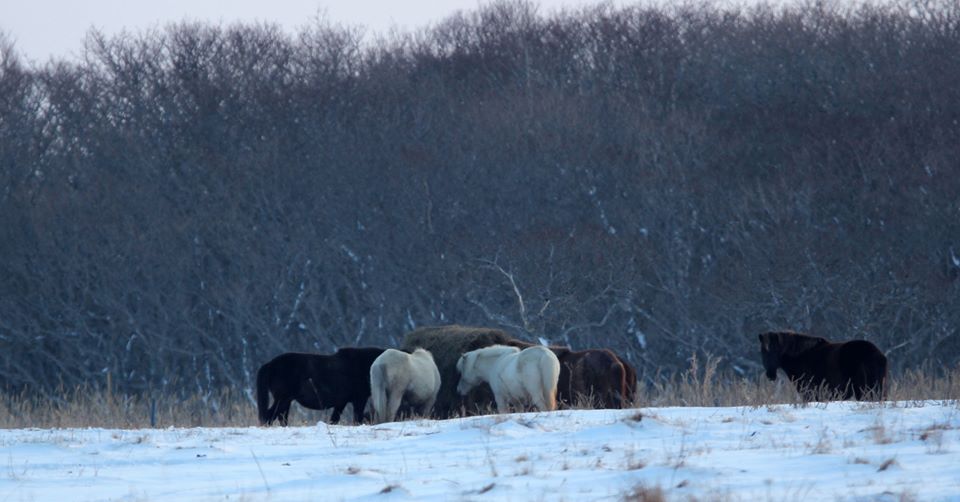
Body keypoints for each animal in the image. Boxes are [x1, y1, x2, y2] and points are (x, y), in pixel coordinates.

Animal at [258, 348, 390, 426]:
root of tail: (270, 364)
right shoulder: (359, 399)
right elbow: (357, 418)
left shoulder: (341, 403)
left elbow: (334, 419)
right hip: (282, 399)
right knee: (269, 416)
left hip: (286, 400)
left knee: (281, 417)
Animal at [756, 332, 884, 402]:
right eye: (763, 351)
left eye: (775, 350)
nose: (770, 375)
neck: (800, 355)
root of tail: (878, 354)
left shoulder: (809, 392)